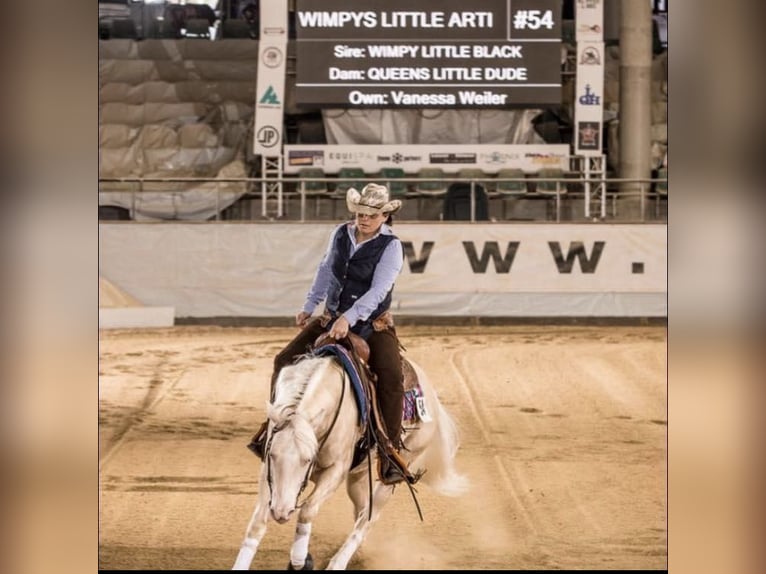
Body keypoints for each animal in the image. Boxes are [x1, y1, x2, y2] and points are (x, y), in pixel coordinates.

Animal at [232, 346, 468, 572]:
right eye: (272, 455)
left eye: (307, 460)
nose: (281, 512)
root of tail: (432, 398)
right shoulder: (268, 473)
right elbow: (257, 522)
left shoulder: (336, 470)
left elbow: (307, 511)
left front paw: (300, 560)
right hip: (357, 477)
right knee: (362, 509)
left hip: (400, 466)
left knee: (368, 519)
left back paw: (338, 563)